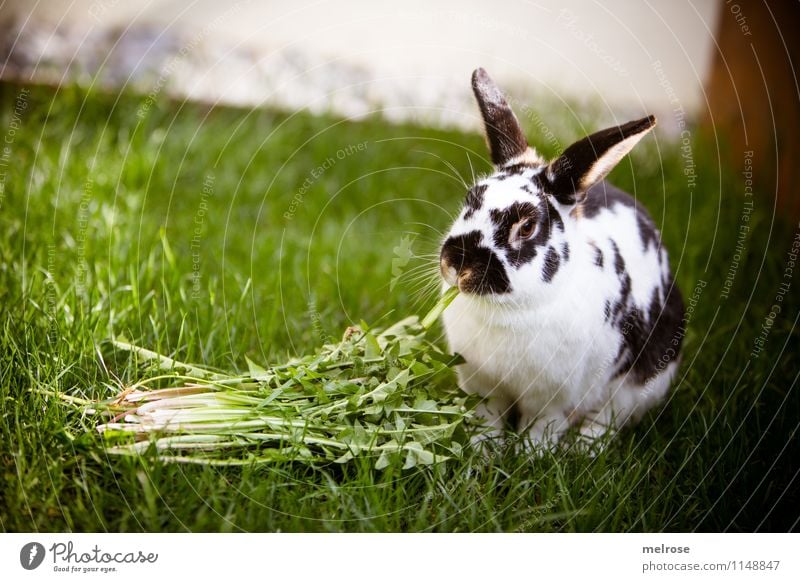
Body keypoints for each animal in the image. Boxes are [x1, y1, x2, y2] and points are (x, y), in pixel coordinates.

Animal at [440, 69, 684, 448]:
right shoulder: (483, 387)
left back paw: (584, 449)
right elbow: (488, 419)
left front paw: (531, 454)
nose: (457, 265)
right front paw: (483, 451)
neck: (509, 311)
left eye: (527, 227)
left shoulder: (554, 399)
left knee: (608, 419)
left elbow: (543, 427)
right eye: (470, 199)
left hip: (640, 383)